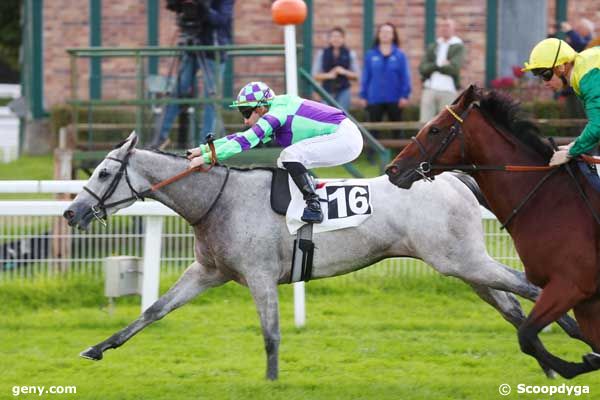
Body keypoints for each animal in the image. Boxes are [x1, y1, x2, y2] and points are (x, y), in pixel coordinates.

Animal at [64, 131, 576, 378]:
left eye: (104, 171)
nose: (71, 211)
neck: (218, 199)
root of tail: (451, 176)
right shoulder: (208, 271)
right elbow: (152, 311)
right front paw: (97, 348)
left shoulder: (259, 276)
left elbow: (271, 332)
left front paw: (272, 381)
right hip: (463, 266)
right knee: (511, 306)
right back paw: (550, 364)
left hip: (462, 261)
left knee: (527, 287)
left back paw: (570, 334)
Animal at [386, 83, 600, 378]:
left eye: (435, 129)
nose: (393, 169)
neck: (550, 201)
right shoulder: (584, 297)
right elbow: (532, 335)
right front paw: (586, 359)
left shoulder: (570, 285)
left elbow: (526, 335)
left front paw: (576, 364)